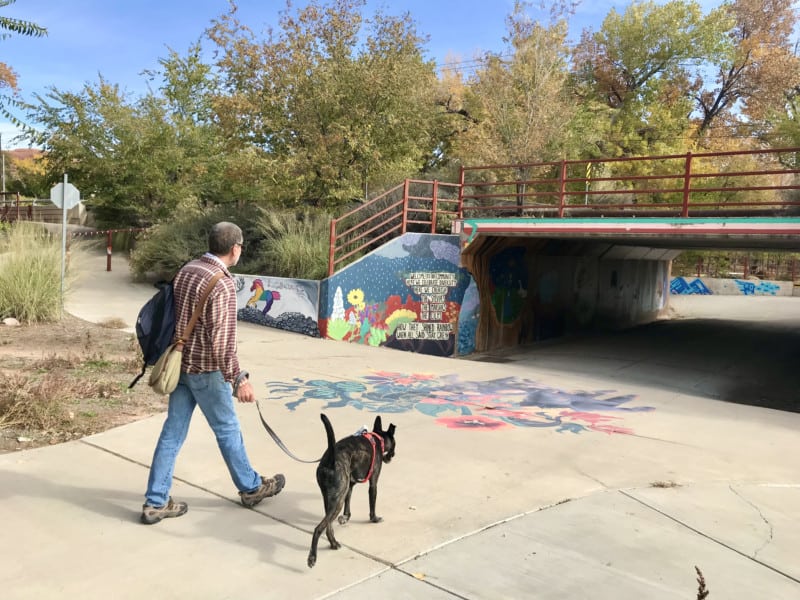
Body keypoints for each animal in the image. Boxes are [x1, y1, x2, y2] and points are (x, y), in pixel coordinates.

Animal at [308, 412, 396, 568]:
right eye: (395, 445)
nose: (394, 455)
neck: (377, 438)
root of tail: (331, 458)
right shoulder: (373, 483)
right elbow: (372, 503)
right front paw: (374, 518)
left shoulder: (349, 486)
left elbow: (348, 504)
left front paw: (345, 517)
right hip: (337, 500)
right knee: (319, 528)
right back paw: (312, 557)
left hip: (332, 498)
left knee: (328, 524)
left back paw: (333, 543)